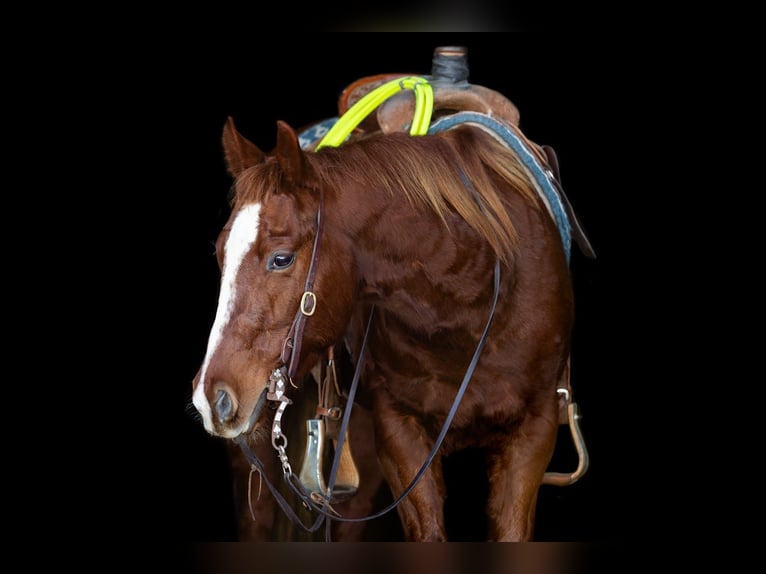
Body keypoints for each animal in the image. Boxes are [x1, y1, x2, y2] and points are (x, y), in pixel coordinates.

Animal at [191, 72, 593, 540]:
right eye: (219, 253)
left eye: (282, 258)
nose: (211, 397)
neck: (465, 301)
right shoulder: (398, 432)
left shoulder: (534, 430)